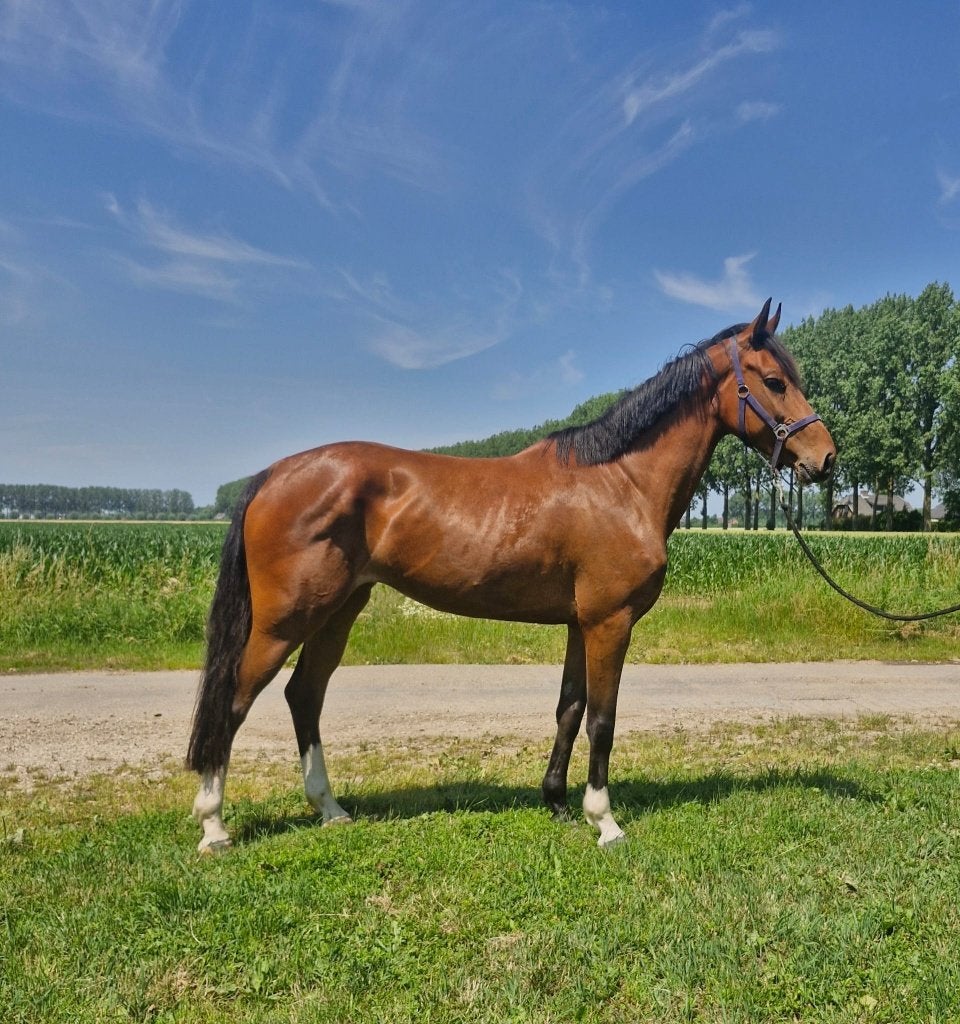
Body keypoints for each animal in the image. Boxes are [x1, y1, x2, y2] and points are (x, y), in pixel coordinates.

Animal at [187, 299, 836, 851]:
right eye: (774, 382)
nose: (824, 459)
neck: (620, 483)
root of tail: (272, 474)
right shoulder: (610, 622)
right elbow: (603, 718)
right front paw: (605, 821)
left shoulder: (581, 623)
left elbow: (570, 709)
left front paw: (558, 803)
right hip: (285, 620)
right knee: (235, 701)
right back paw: (214, 826)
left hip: (340, 609)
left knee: (305, 694)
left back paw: (330, 809)